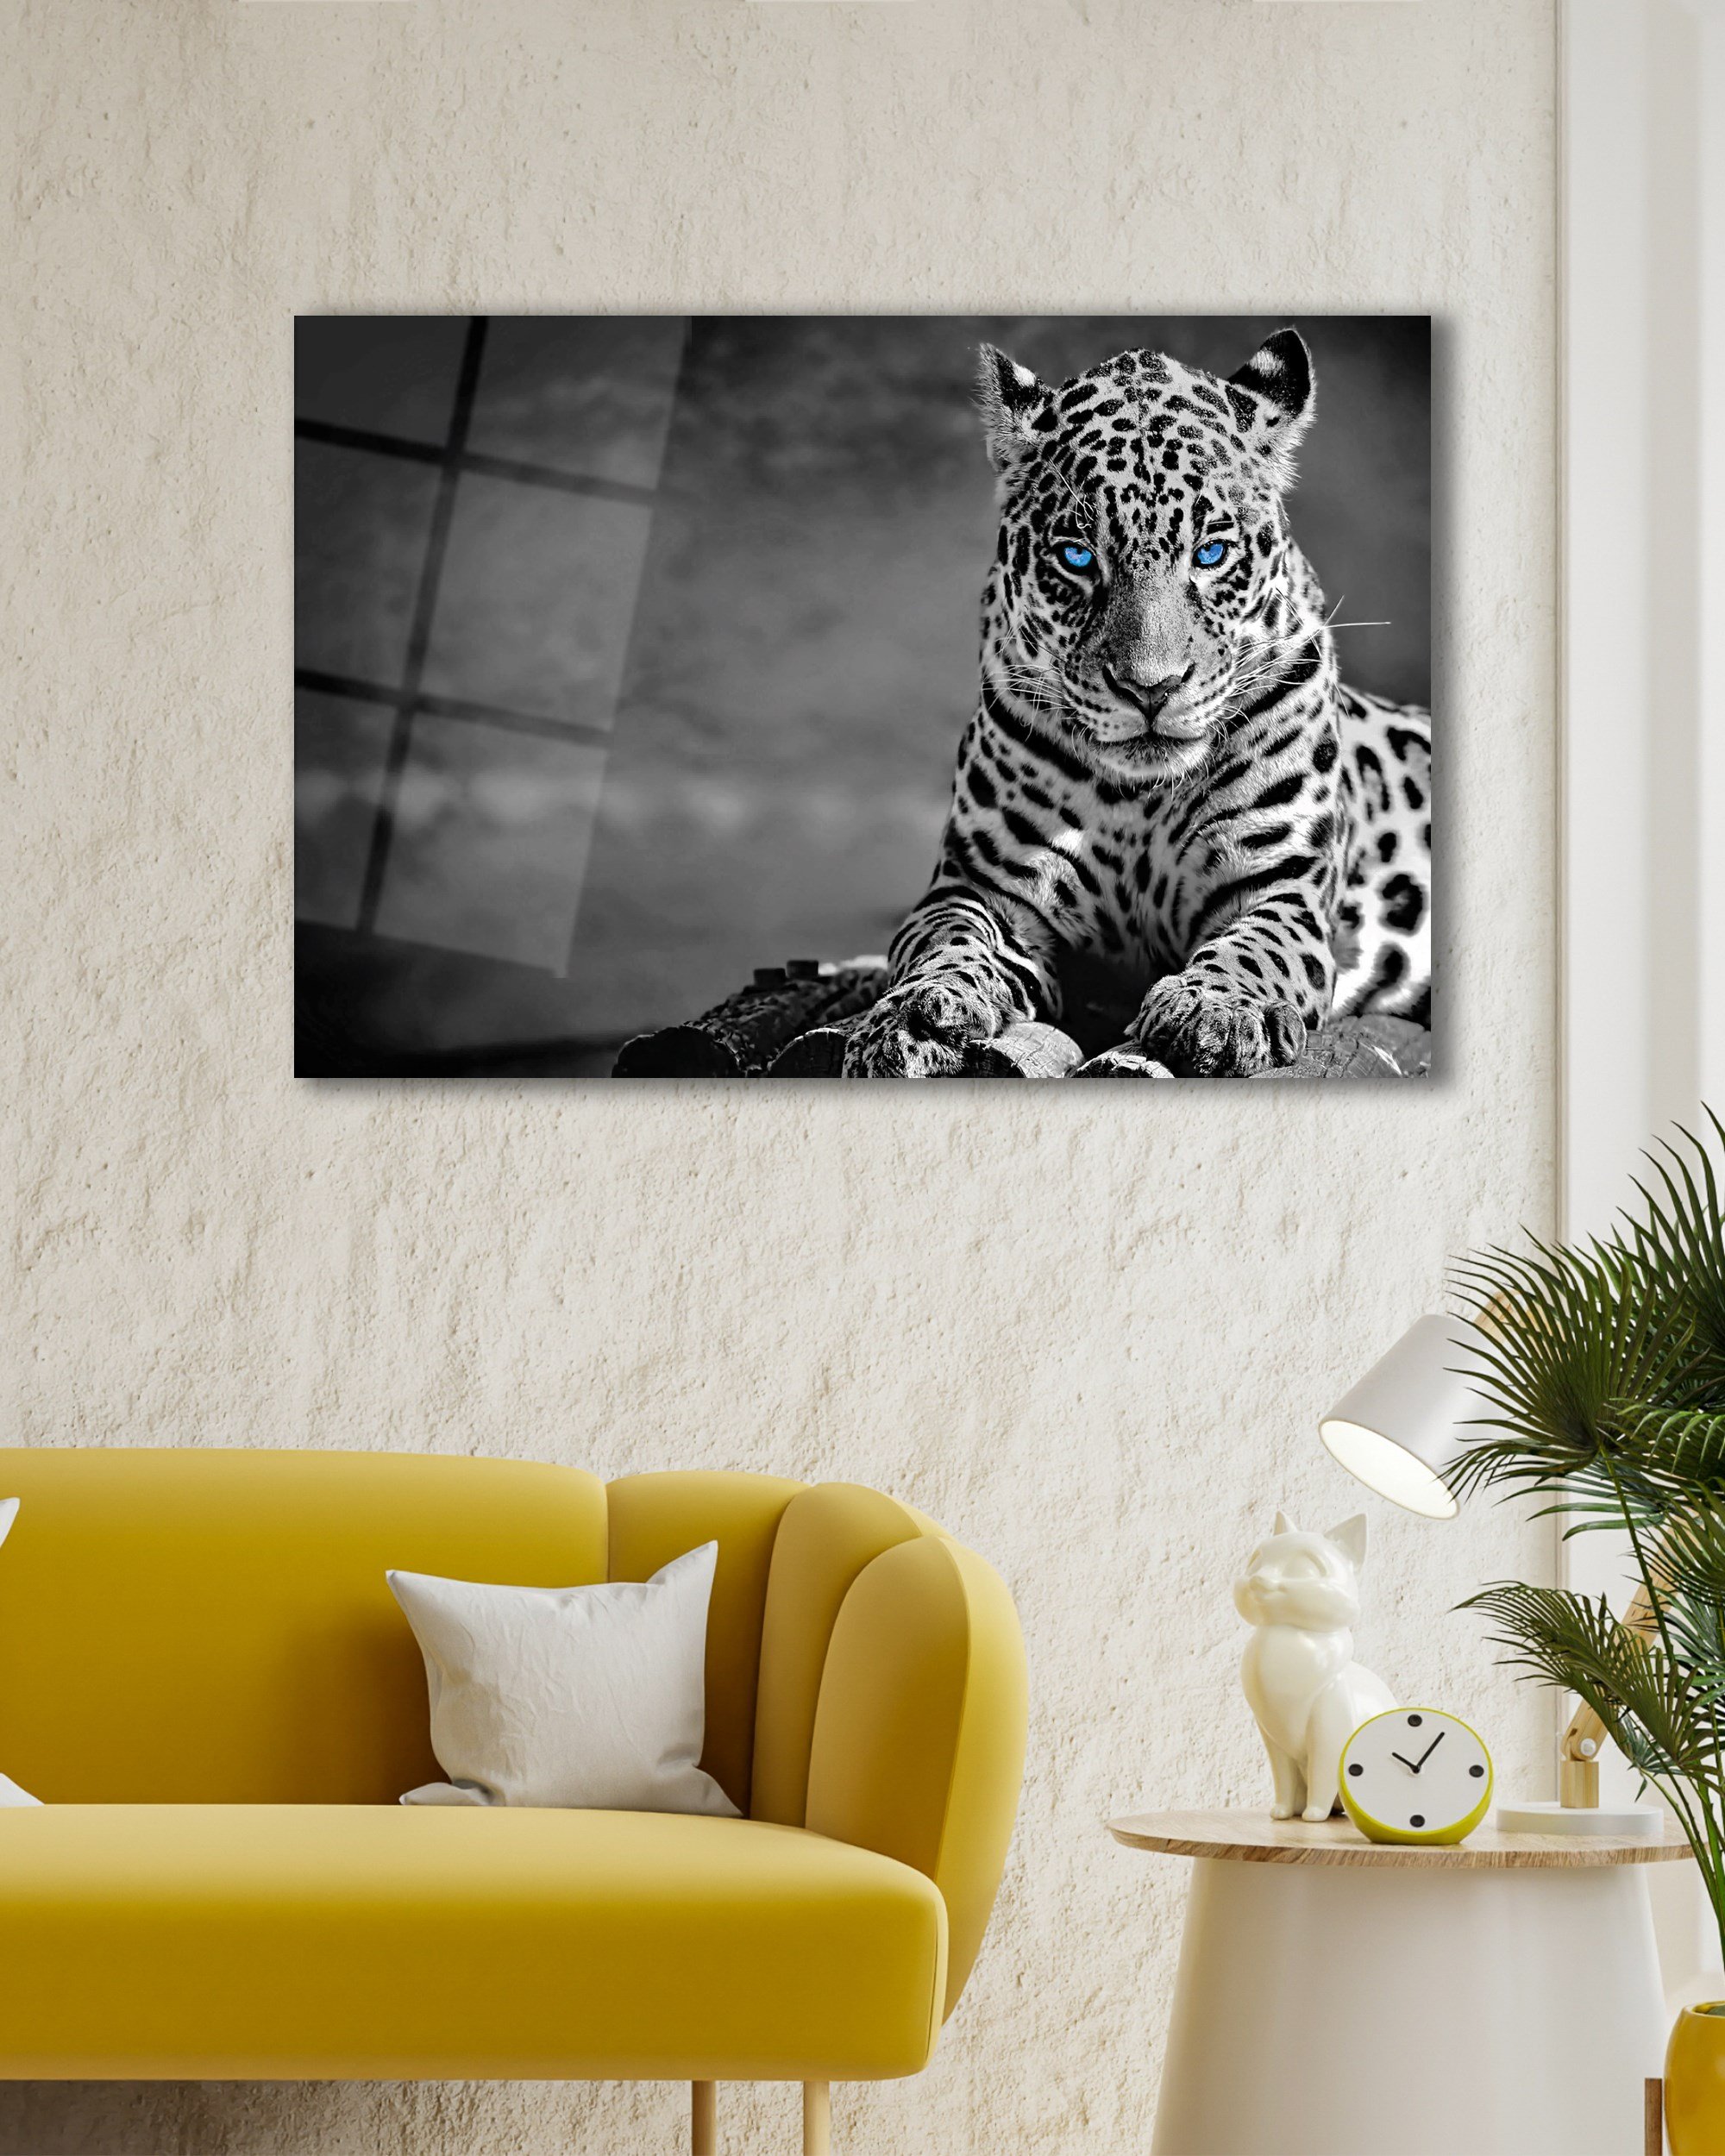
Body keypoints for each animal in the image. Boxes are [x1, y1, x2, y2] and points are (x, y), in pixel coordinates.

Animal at [842, 327, 1431, 1078]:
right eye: (1076, 558)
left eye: (1211, 554)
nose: (1150, 687)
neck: (1140, 801)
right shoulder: (981, 887)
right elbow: (945, 940)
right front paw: (915, 1014)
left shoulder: (1282, 887)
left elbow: (1254, 948)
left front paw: (1214, 1009)